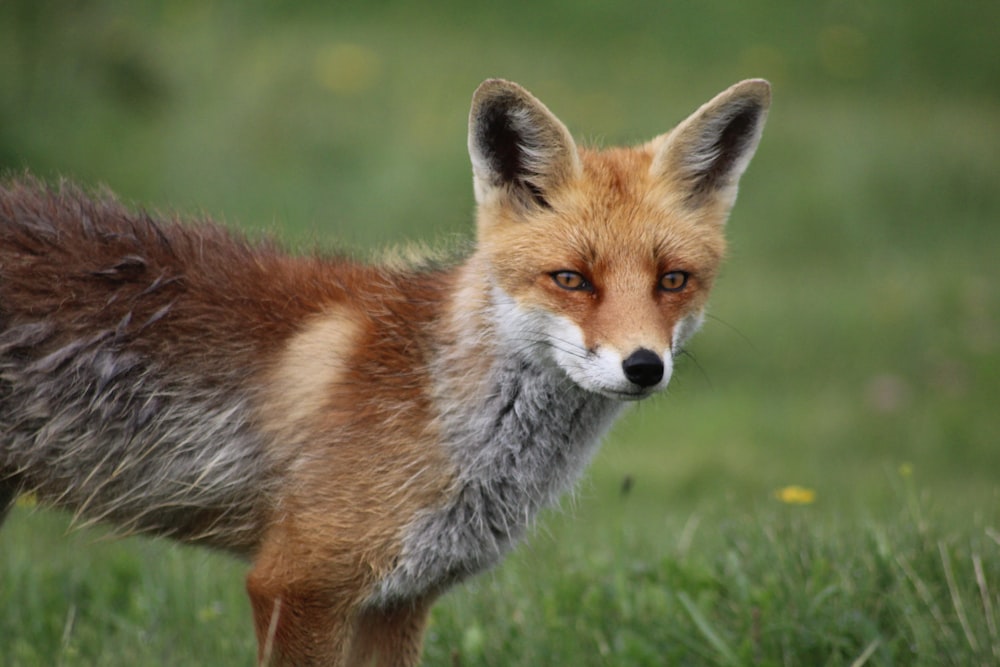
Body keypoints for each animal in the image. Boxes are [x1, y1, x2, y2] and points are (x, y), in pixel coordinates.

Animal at [0, 77, 768, 664]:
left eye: (673, 280)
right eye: (572, 279)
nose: (643, 366)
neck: (438, 401)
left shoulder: (400, 597)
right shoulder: (297, 583)